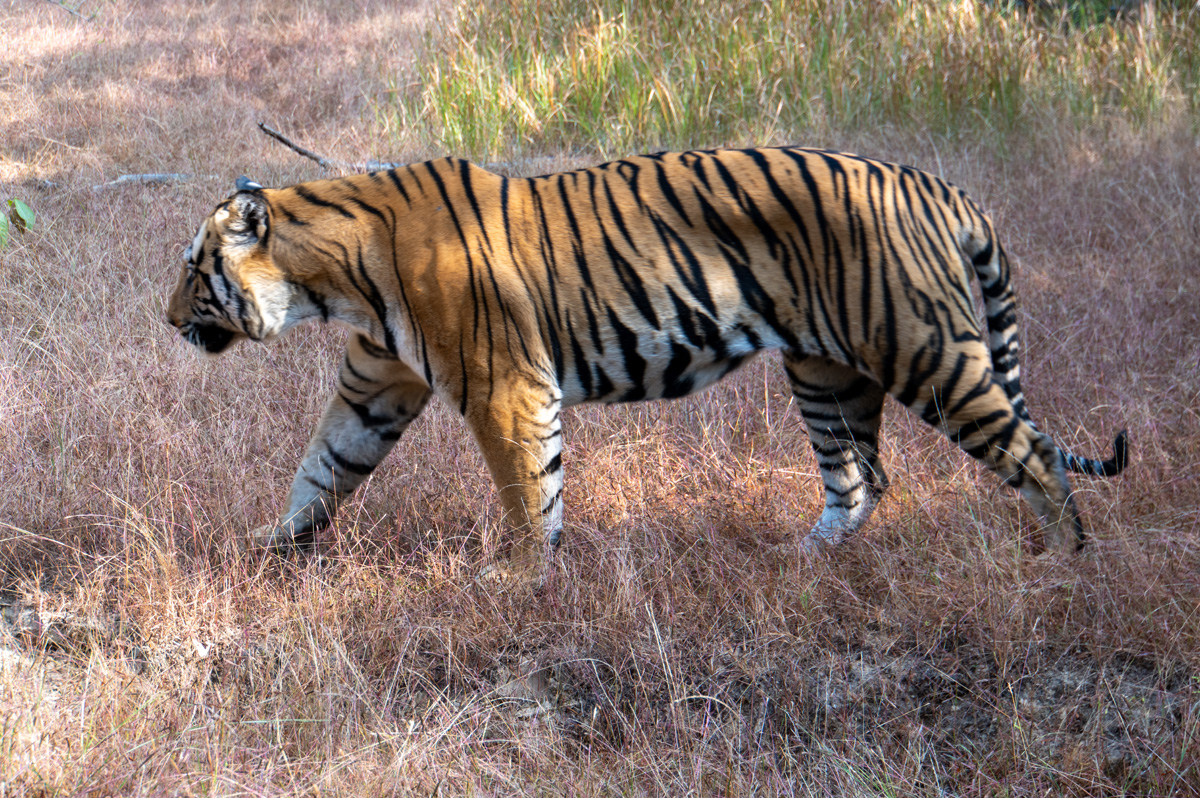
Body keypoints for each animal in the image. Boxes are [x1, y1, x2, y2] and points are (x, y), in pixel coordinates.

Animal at [166, 147, 1127, 584]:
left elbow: (527, 489)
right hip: (824, 373)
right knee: (863, 478)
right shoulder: (376, 386)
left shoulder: (507, 388)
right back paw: (800, 560)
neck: (332, 279)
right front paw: (269, 547)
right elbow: (321, 467)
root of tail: (938, 185)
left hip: (924, 352)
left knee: (1033, 454)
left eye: (193, 272)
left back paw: (1064, 565)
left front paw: (520, 577)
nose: (168, 322)